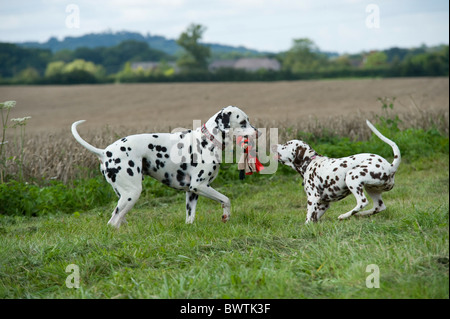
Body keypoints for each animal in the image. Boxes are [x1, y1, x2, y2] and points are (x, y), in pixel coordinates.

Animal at [72, 106, 258, 229]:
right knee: (113, 222)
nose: (258, 132)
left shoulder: (192, 192)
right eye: (243, 122)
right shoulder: (200, 185)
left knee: (117, 219)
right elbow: (226, 199)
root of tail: (104, 152)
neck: (208, 140)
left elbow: (190, 218)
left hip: (124, 195)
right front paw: (226, 216)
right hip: (132, 194)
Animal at [272, 120, 402, 225]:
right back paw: (360, 214)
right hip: (371, 189)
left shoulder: (313, 198)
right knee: (379, 207)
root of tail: (390, 167)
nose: (273, 145)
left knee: (362, 202)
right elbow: (312, 219)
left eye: (286, 145)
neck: (310, 162)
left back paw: (345, 216)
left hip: (352, 177)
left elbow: (308, 217)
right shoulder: (323, 203)